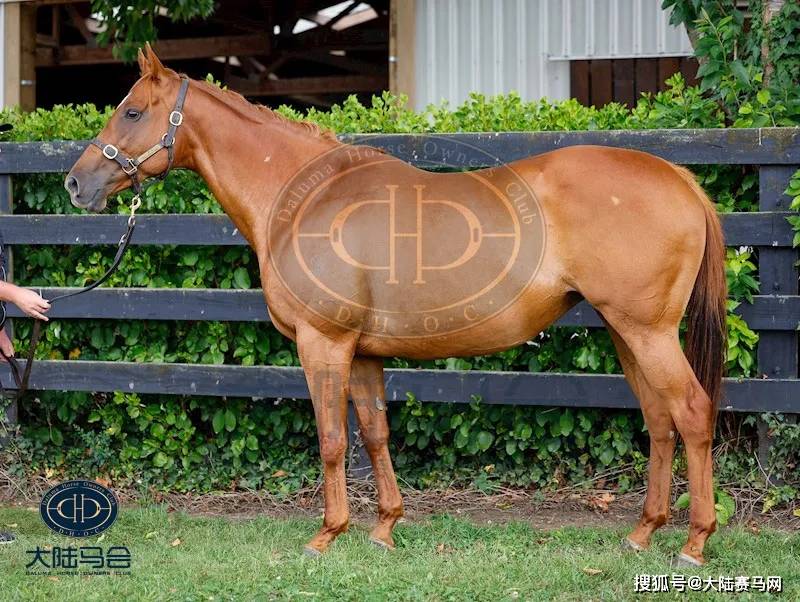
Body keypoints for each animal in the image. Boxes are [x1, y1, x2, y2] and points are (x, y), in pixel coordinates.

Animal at [65, 45, 728, 564]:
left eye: (131, 111)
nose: (76, 183)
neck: (304, 197)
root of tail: (680, 178)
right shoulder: (362, 354)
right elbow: (376, 433)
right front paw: (384, 528)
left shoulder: (324, 344)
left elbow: (333, 439)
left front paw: (327, 535)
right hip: (625, 333)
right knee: (660, 420)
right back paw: (643, 533)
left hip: (647, 332)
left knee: (693, 413)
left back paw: (696, 542)